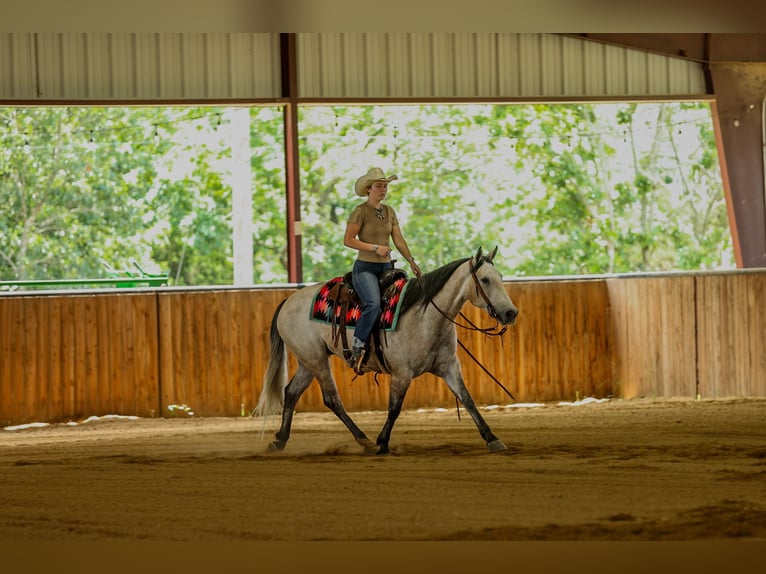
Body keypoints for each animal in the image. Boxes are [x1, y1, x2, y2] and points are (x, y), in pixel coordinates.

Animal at [254, 246, 519, 455]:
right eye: (485, 280)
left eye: (500, 276)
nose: (510, 313)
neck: (425, 317)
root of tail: (288, 301)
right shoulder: (402, 373)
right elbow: (394, 409)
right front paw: (382, 442)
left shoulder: (449, 367)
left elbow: (467, 399)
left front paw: (492, 438)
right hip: (316, 360)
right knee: (332, 399)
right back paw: (365, 441)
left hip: (308, 361)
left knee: (291, 392)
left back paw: (279, 440)